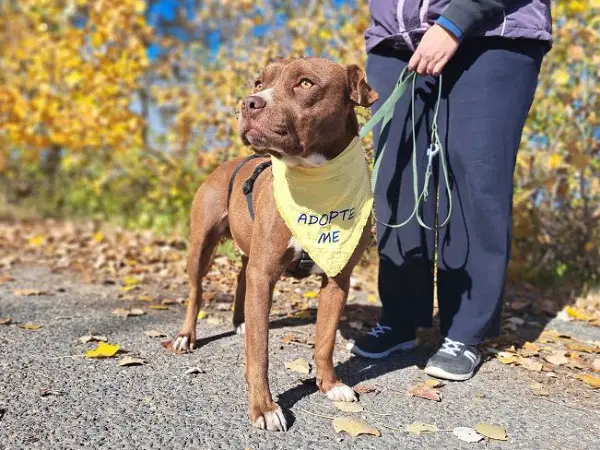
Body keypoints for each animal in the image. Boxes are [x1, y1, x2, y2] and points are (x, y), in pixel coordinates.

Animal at [171, 57, 378, 431]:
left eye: (306, 83)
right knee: (196, 291)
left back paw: (239, 320)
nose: (247, 103)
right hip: (201, 246)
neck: (313, 180)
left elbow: (325, 339)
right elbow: (260, 351)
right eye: (258, 82)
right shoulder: (264, 274)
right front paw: (264, 407)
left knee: (241, 276)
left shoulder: (338, 279)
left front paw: (330, 385)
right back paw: (186, 336)